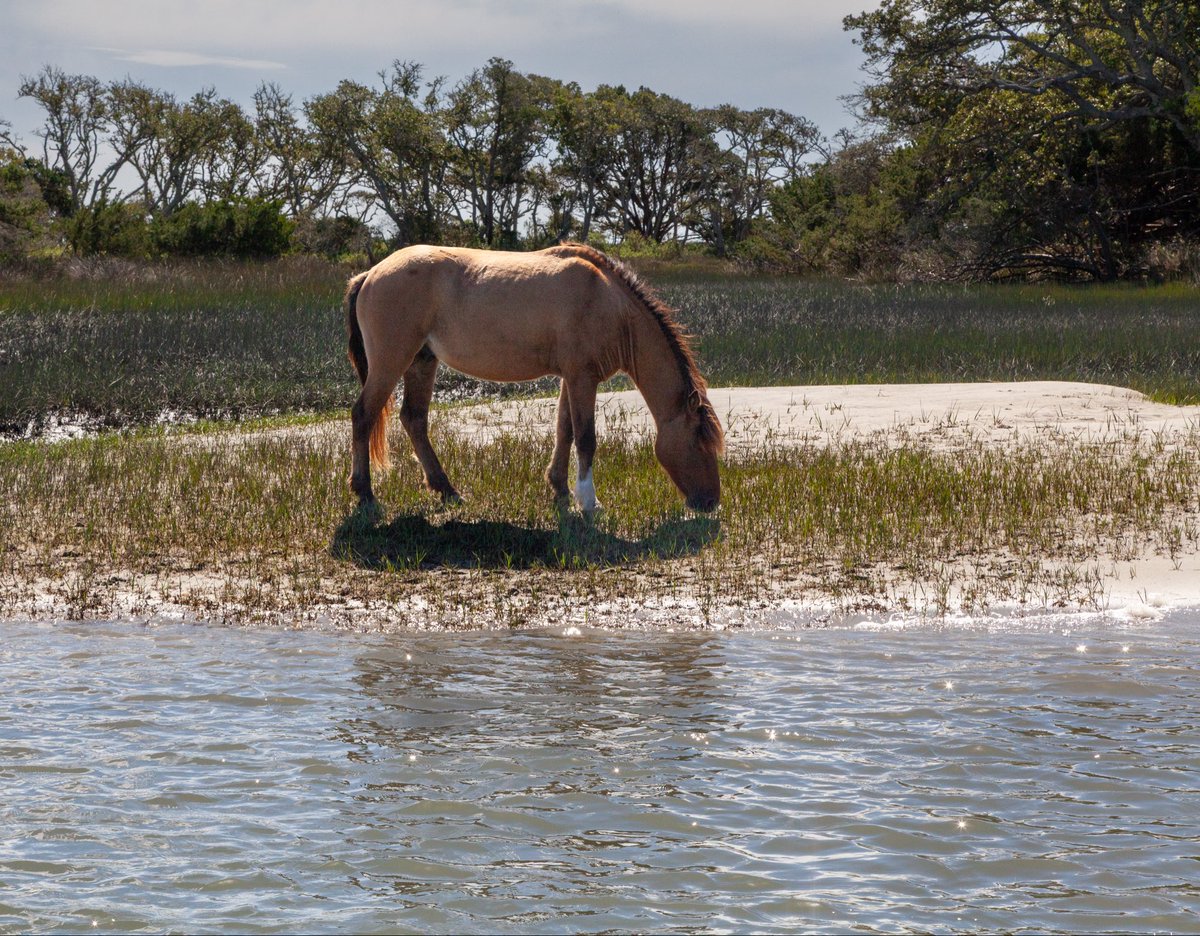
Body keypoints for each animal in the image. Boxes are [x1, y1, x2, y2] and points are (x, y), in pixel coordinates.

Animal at [344, 242, 724, 515]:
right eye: (698, 441)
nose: (710, 502)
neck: (608, 302)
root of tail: (370, 273)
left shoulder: (572, 378)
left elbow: (565, 431)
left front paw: (560, 488)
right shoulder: (582, 378)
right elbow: (586, 438)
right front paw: (589, 501)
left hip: (422, 362)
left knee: (414, 420)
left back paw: (448, 491)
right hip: (391, 362)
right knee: (363, 415)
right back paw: (366, 493)